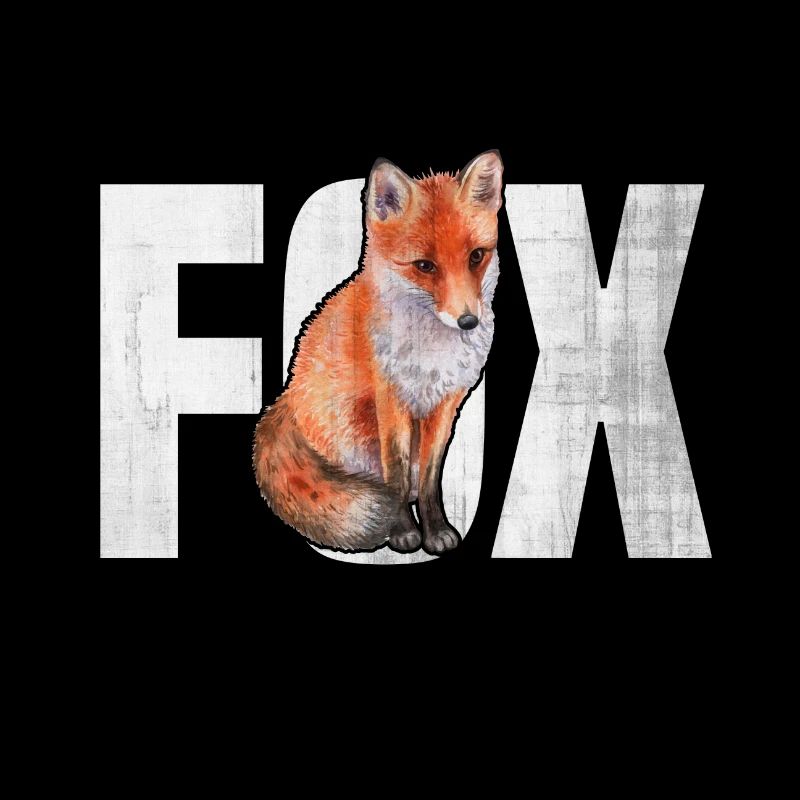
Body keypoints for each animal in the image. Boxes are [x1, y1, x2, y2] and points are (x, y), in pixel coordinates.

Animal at [253, 150, 503, 554]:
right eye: (424, 266)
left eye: (476, 256)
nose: (468, 321)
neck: (430, 355)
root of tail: (285, 401)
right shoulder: (390, 399)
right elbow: (394, 473)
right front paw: (402, 530)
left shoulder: (445, 404)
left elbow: (430, 476)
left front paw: (435, 530)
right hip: (351, 427)